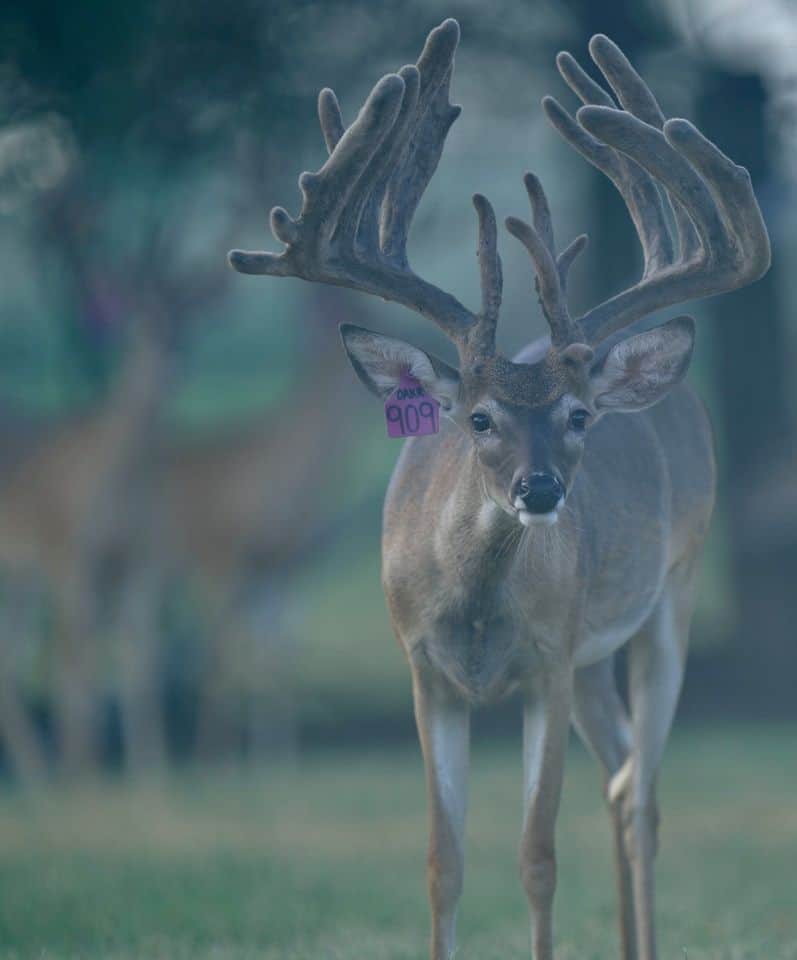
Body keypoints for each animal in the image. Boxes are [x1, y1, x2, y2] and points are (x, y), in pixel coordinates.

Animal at [228, 20, 770, 960]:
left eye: (579, 415)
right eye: (477, 418)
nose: (541, 490)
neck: (474, 608)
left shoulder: (544, 666)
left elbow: (536, 856)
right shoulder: (425, 671)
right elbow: (442, 862)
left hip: (673, 592)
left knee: (643, 793)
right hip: (593, 657)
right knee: (620, 775)